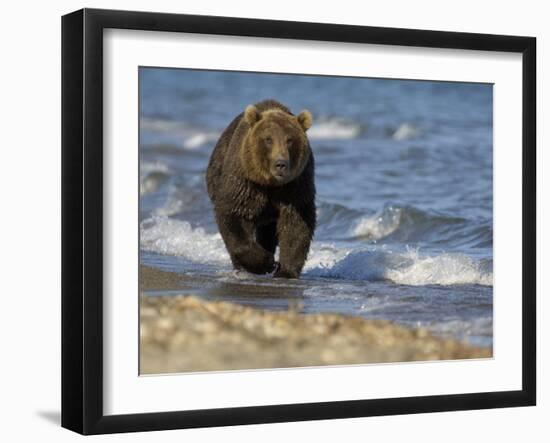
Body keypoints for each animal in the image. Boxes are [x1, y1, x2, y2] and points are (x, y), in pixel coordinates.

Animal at [207, 99, 316, 280]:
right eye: (268, 139)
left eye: (290, 140)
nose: (280, 164)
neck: (269, 183)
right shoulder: (245, 182)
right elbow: (232, 214)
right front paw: (266, 262)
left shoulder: (295, 186)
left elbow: (296, 224)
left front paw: (286, 271)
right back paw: (241, 267)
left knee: (268, 232)